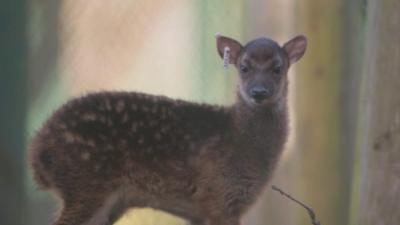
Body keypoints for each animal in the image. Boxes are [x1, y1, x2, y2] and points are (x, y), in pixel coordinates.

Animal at [29, 34, 308, 224]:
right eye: (244, 67)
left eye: (278, 68)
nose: (258, 92)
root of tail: (37, 149)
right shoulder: (217, 196)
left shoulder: (205, 209)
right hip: (85, 183)